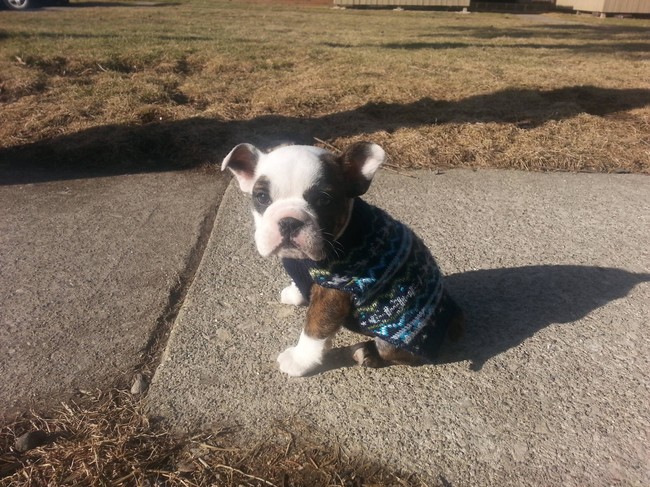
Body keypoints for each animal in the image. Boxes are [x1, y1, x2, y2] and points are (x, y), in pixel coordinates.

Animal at [221, 141, 460, 378]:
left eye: (323, 200)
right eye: (261, 197)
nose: (289, 221)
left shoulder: (333, 293)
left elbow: (314, 327)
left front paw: (300, 360)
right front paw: (295, 292)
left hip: (400, 334)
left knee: (401, 355)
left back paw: (367, 353)